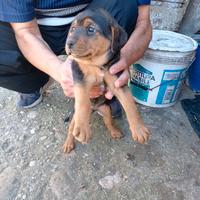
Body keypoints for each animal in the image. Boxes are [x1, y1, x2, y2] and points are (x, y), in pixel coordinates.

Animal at [63, 8, 149, 153]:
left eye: (91, 29)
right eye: (73, 29)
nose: (68, 43)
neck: (97, 64)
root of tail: (94, 109)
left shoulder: (117, 81)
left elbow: (130, 104)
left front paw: (139, 129)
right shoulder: (79, 77)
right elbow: (82, 101)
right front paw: (83, 129)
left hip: (106, 109)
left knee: (108, 122)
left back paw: (115, 131)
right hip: (74, 116)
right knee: (71, 128)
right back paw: (68, 143)